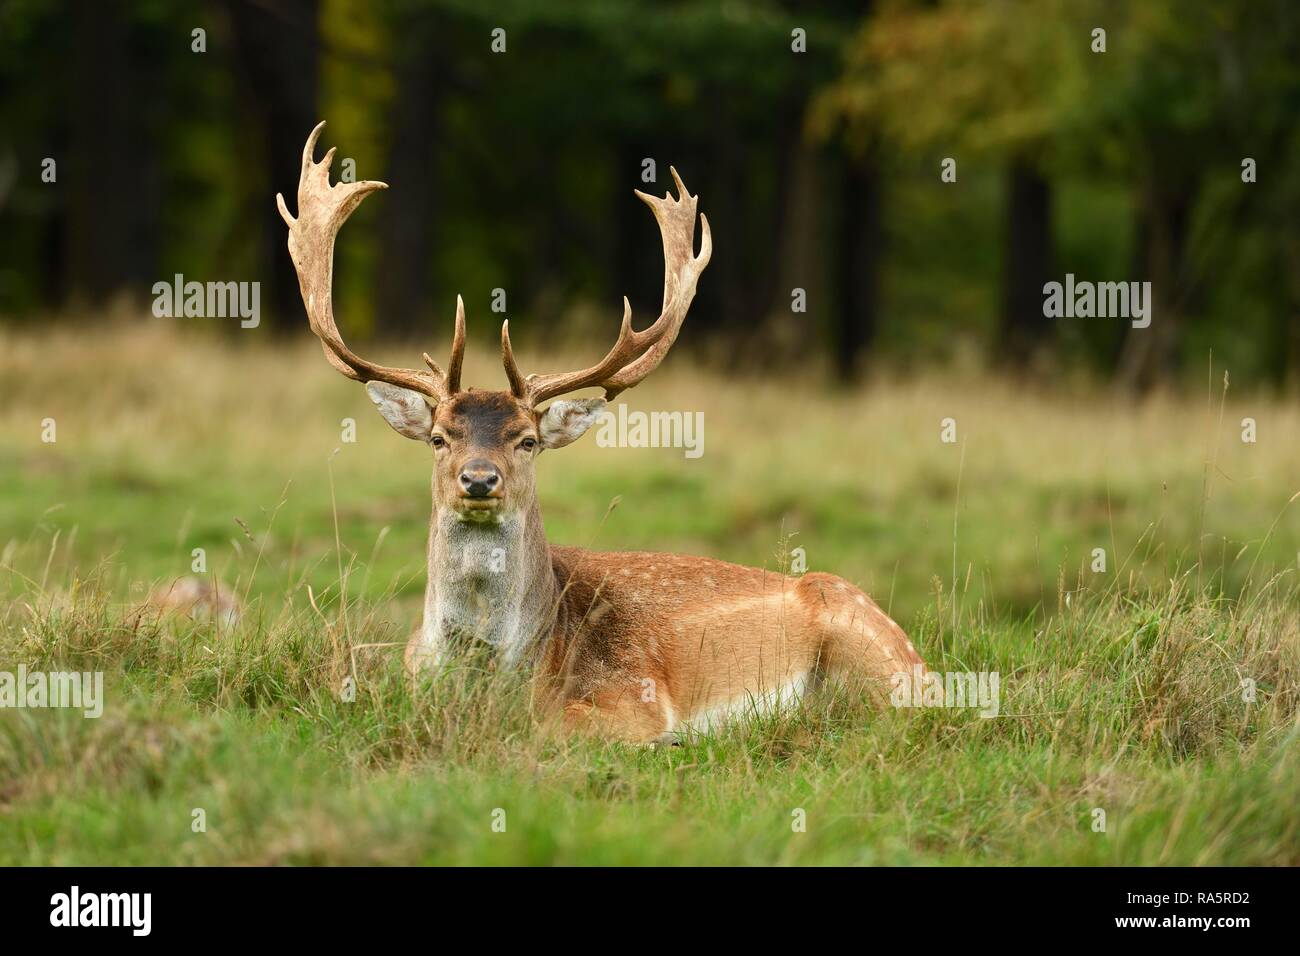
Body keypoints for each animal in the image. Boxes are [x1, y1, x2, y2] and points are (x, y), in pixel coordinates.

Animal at [277, 122, 927, 743]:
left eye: (528, 441)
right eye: (440, 437)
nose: (479, 479)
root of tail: (922, 663)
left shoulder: (635, 694)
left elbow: (547, 727)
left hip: (869, 659)